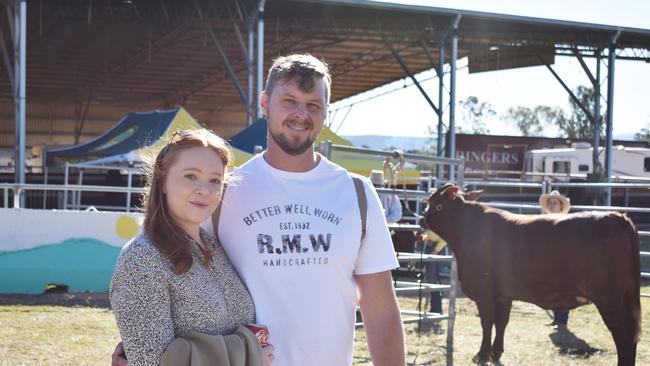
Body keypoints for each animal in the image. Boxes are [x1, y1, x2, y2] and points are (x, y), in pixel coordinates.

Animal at [420, 184, 636, 364]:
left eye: (437, 205)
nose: (422, 219)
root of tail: (616, 216)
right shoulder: (503, 295)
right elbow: (501, 322)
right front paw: (496, 352)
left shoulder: (484, 292)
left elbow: (487, 322)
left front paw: (481, 355)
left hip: (608, 299)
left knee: (624, 336)